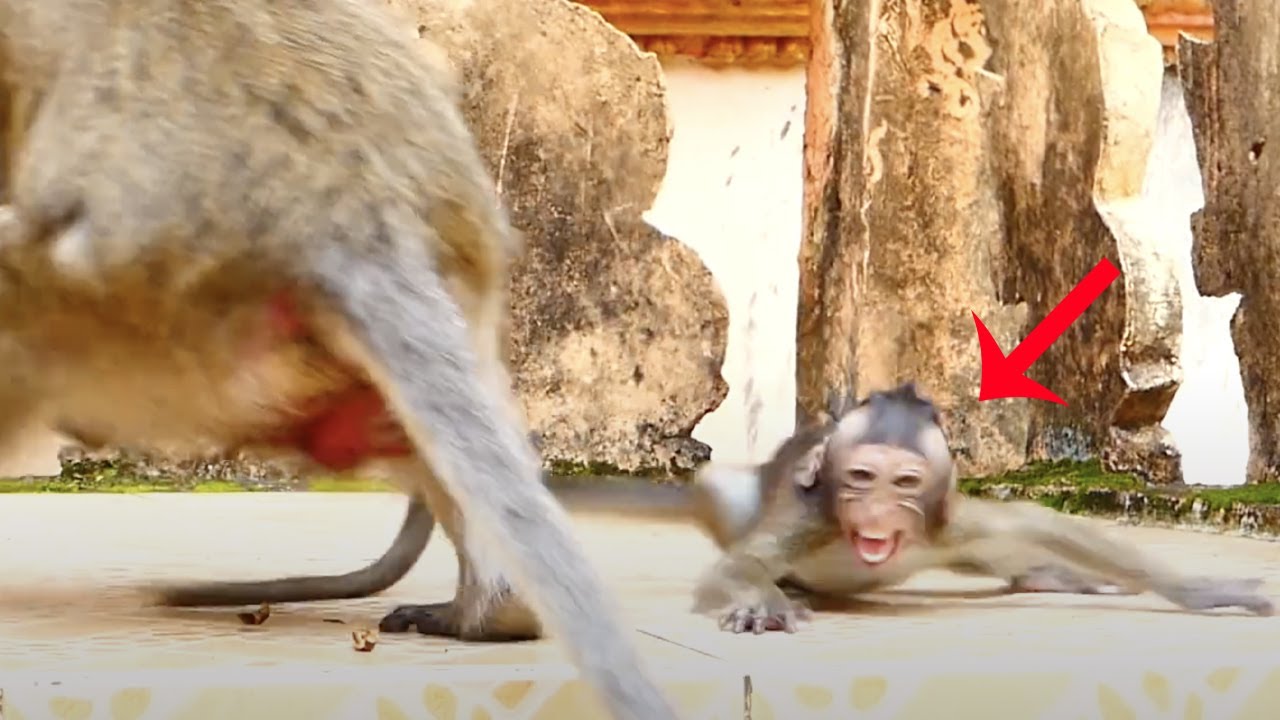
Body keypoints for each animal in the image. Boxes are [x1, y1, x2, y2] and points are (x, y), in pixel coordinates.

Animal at [687, 383, 1274, 633]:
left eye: (904, 482)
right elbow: (737, 566)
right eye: (861, 478)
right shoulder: (811, 518)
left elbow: (1042, 522)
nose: (874, 514)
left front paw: (1209, 592)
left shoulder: (949, 524)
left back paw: (1049, 576)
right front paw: (762, 600)